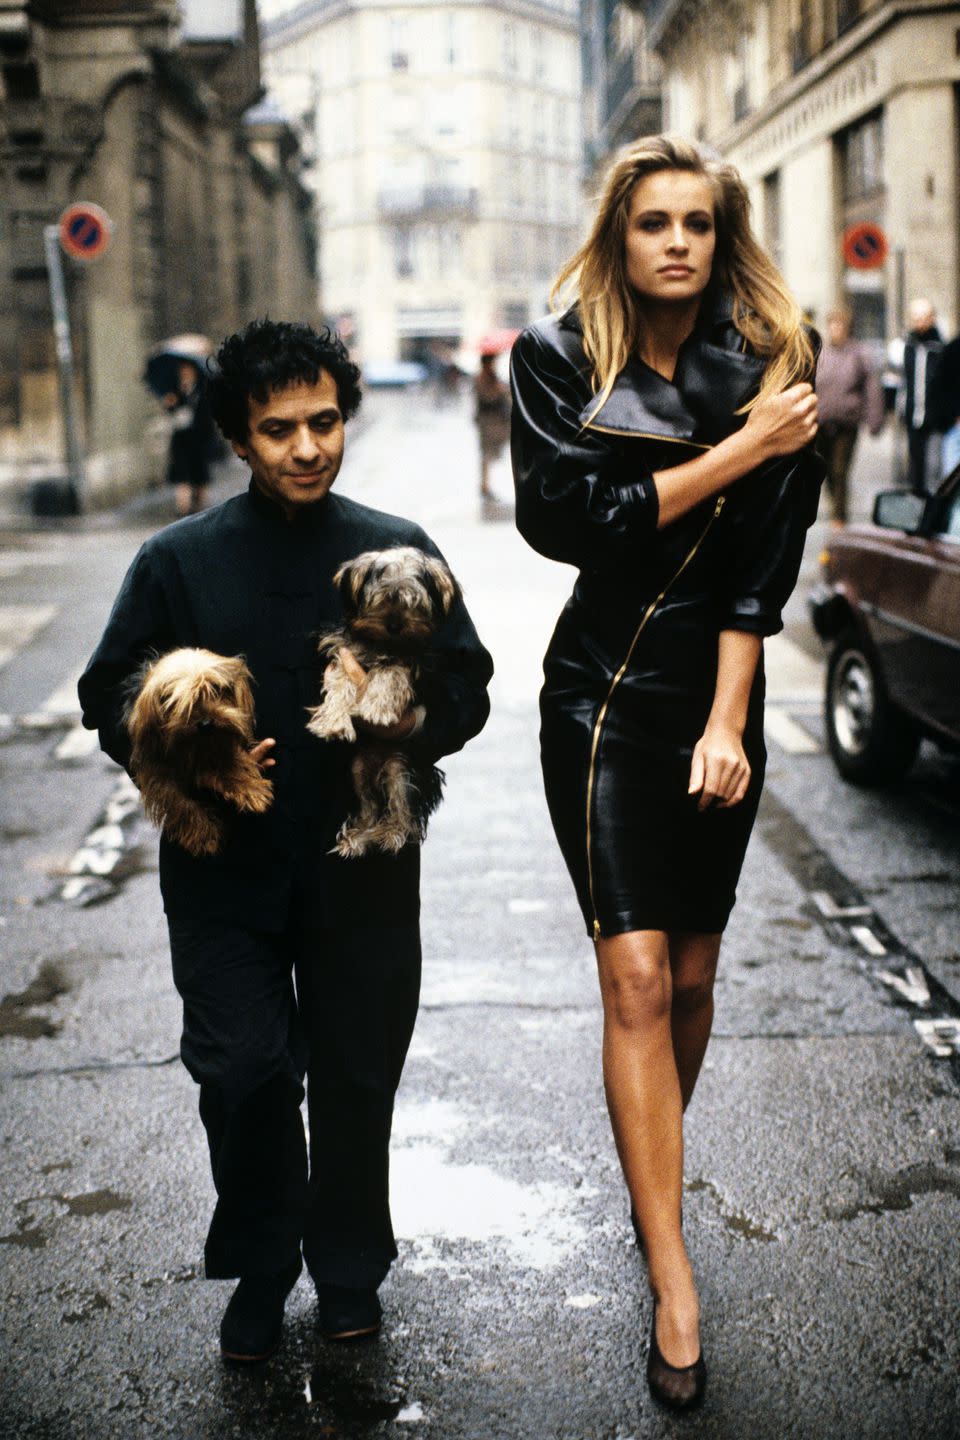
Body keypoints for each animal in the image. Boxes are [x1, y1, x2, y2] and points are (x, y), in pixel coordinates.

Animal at [123, 650, 272, 852]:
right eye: (179, 703)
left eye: (216, 690)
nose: (206, 723)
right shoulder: (156, 768)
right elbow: (177, 800)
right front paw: (203, 834)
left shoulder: (221, 738)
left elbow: (227, 757)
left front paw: (249, 787)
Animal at [306, 541, 460, 852]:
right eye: (381, 598)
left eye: (413, 602)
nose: (395, 625)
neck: (382, 643)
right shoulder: (345, 652)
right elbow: (340, 679)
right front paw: (333, 721)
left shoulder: (410, 660)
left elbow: (390, 672)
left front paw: (376, 708)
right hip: (357, 769)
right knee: (369, 806)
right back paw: (356, 837)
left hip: (400, 768)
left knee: (403, 810)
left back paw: (391, 833)